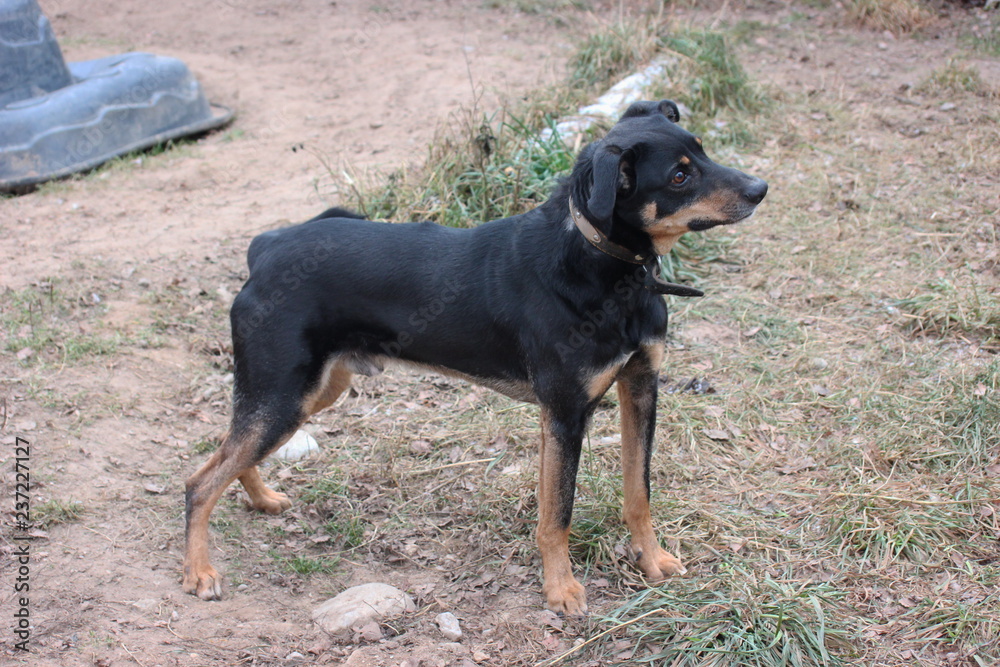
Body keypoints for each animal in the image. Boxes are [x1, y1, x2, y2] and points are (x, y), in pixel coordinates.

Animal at [186, 100, 764, 616]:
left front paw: (652, 559)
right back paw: (199, 572)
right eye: (679, 176)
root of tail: (266, 248)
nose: (761, 190)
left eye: (702, 151)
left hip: (310, 392)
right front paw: (561, 590)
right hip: (283, 395)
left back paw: (261, 499)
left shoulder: (639, 387)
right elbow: (558, 513)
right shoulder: (565, 413)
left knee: (228, 450)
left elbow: (635, 490)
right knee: (199, 481)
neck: (602, 264)